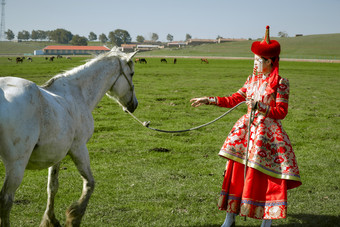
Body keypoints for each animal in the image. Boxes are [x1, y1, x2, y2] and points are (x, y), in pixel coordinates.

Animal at [0, 48, 138, 225]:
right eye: (131, 73)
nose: (134, 105)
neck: (78, 93)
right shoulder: (79, 148)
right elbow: (89, 183)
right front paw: (74, 217)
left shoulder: (55, 155)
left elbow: (52, 187)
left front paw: (50, 220)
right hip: (16, 164)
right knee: (6, 200)